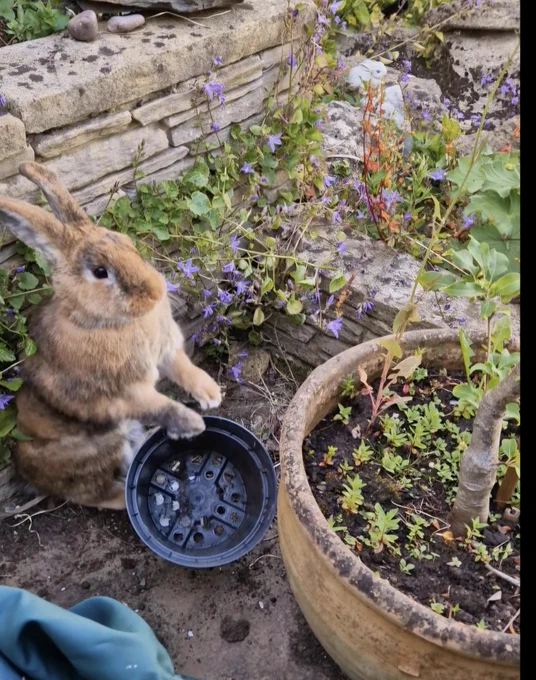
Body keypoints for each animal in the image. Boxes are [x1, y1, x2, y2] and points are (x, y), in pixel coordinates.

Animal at [0, 162, 222, 510]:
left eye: (127, 243)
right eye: (101, 272)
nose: (155, 292)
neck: (108, 322)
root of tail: (29, 473)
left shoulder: (165, 352)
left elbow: (184, 368)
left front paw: (212, 395)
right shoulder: (124, 393)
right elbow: (160, 404)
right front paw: (193, 424)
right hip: (101, 450)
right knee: (101, 495)